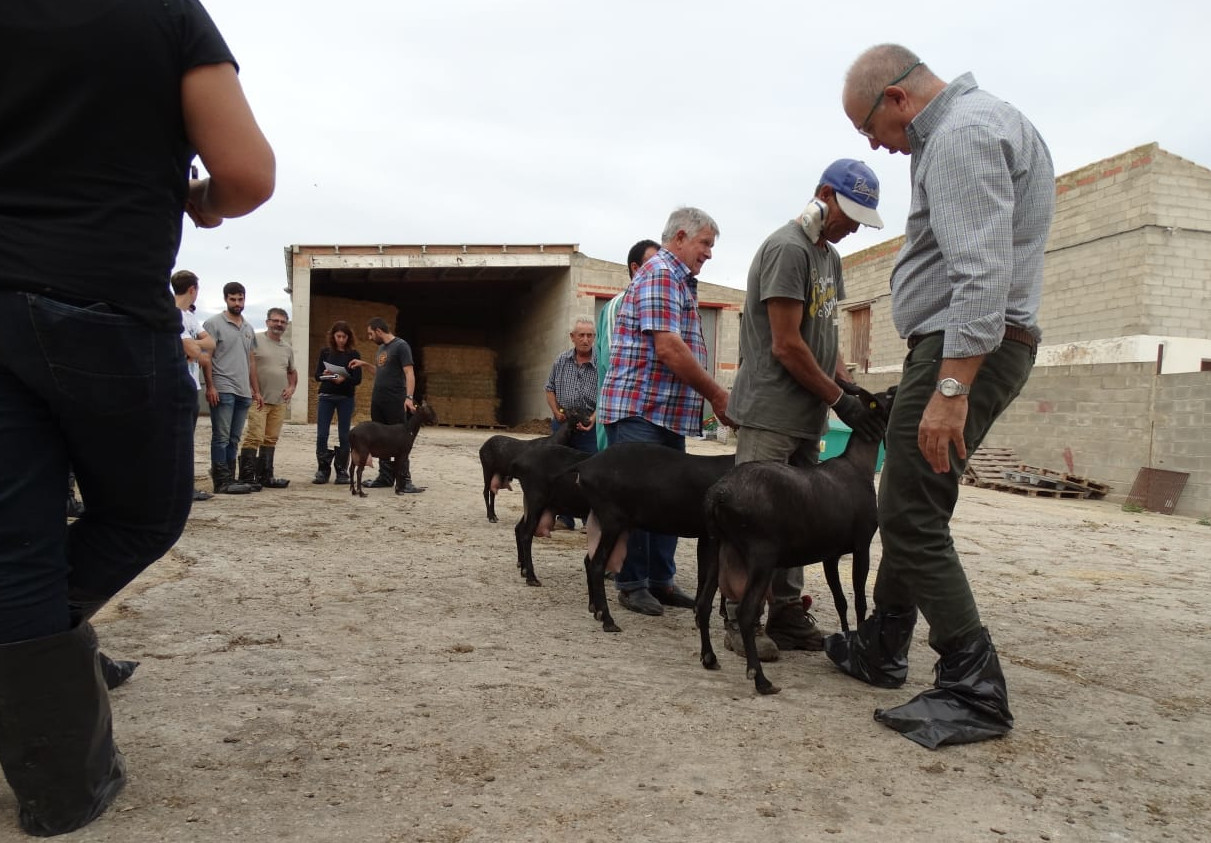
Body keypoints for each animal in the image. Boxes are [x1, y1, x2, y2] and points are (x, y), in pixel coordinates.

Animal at [506, 440, 590, 586]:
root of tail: (519, 461)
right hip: (536, 500)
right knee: (526, 534)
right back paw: (531, 577)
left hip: (533, 504)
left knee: (519, 528)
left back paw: (524, 570)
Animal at [571, 448, 731, 629]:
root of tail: (585, 465)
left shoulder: (705, 536)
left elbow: (703, 574)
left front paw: (701, 614)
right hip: (612, 521)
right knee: (597, 565)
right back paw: (607, 620)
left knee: (589, 560)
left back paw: (594, 609)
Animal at [697, 385, 896, 692]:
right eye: (889, 396)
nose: (899, 388)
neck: (857, 465)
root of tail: (718, 494)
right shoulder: (862, 546)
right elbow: (860, 601)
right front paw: (858, 645)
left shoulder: (830, 555)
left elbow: (841, 600)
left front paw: (846, 641)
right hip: (761, 556)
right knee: (745, 612)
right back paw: (760, 678)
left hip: (718, 548)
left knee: (704, 605)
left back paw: (709, 657)